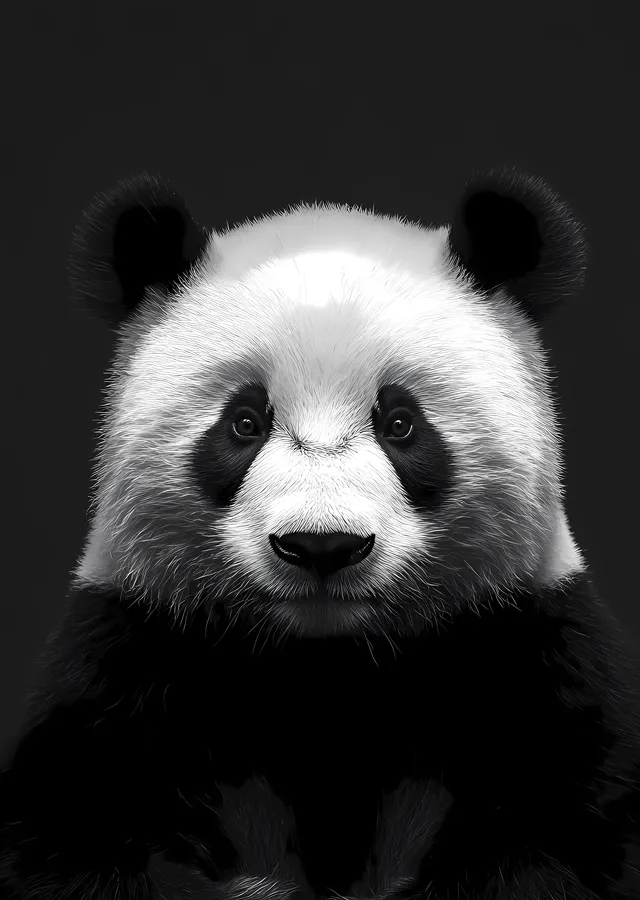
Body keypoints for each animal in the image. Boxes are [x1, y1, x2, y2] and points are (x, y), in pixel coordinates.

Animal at [1, 167, 640, 900]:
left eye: (402, 424)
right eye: (244, 423)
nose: (321, 546)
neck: (328, 667)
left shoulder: (526, 646)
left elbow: (558, 829)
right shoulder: (134, 655)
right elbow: (80, 830)